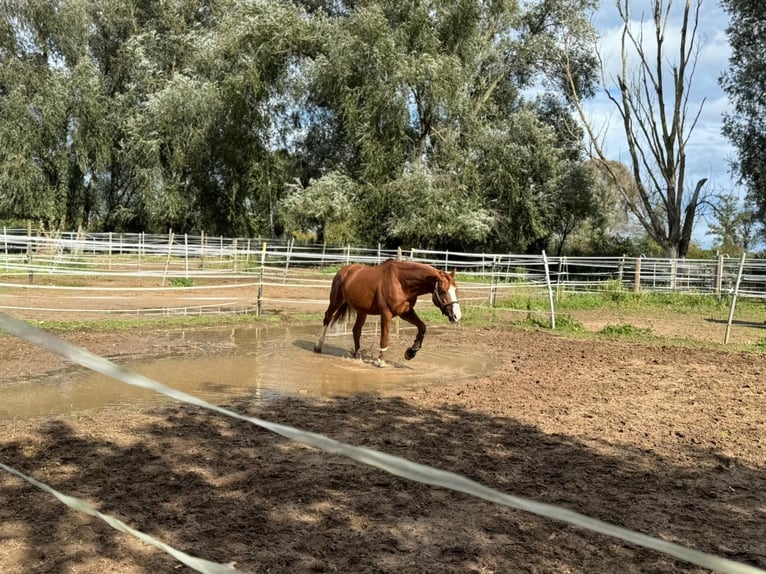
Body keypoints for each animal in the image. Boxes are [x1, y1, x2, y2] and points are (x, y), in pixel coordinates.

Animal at [314, 260, 462, 366]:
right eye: (443, 291)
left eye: (456, 290)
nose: (456, 316)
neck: (400, 282)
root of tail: (344, 271)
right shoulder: (386, 314)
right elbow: (384, 338)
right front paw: (381, 362)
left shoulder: (406, 312)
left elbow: (422, 327)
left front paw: (411, 352)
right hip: (336, 301)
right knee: (327, 318)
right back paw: (318, 346)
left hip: (362, 311)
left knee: (356, 331)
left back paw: (358, 356)